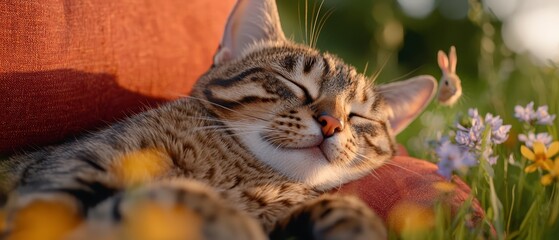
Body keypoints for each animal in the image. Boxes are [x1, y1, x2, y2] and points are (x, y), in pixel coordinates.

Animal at [0, 0, 438, 239]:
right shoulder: (58, 180)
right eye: (294, 83)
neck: (243, 175)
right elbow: (187, 195)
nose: (332, 123)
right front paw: (229, 220)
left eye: (358, 117)